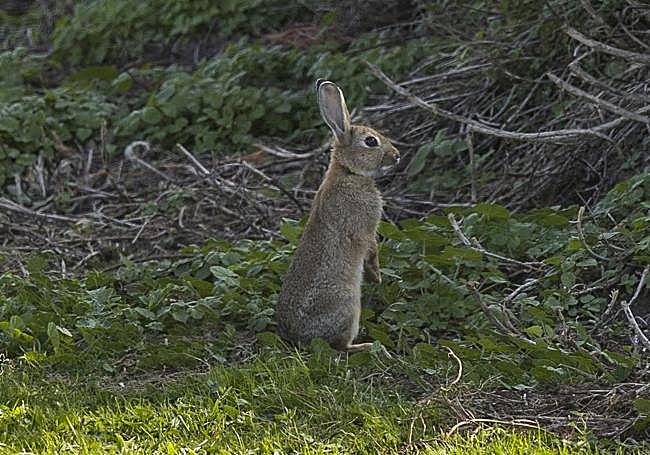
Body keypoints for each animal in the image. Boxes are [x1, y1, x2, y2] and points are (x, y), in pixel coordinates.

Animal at [276, 79, 400, 352]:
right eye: (371, 141)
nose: (396, 156)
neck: (348, 172)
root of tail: (298, 338)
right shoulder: (364, 229)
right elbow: (371, 249)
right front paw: (376, 277)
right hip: (349, 306)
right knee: (340, 347)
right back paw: (369, 346)